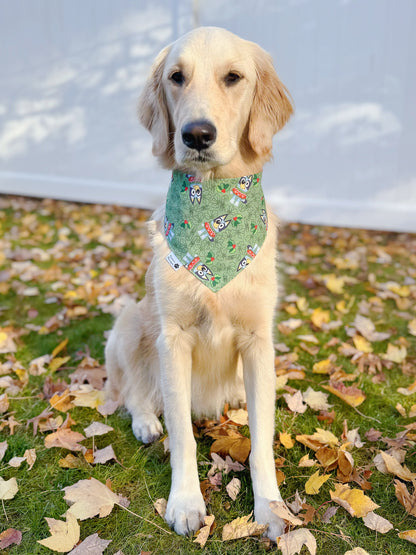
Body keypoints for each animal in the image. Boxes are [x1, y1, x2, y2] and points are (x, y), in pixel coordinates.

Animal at [104, 27, 292, 544]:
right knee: (134, 392)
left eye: (233, 77)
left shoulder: (259, 339)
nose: (196, 135)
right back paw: (146, 421)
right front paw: (187, 502)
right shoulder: (173, 338)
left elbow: (262, 440)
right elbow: (183, 436)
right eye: (176, 77)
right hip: (130, 320)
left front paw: (270, 507)